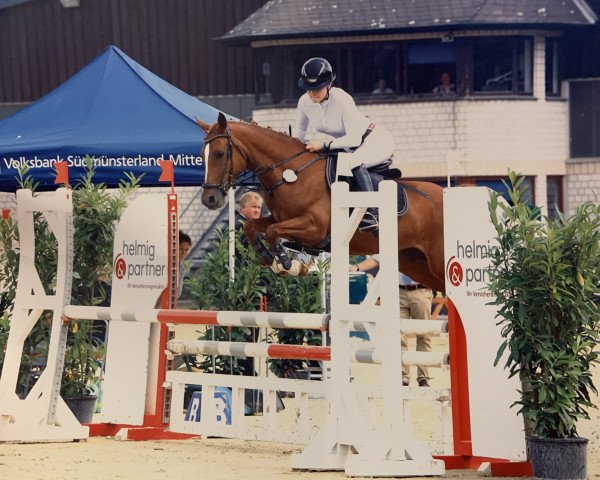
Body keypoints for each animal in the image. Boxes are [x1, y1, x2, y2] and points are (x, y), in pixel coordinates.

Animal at [197, 113, 446, 292]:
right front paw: (268, 258)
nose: (210, 199)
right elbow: (252, 226)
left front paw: (285, 263)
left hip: (437, 260)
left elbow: (272, 231)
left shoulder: (313, 227)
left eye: (219, 153)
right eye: (202, 154)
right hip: (416, 263)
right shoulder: (279, 219)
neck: (291, 174)